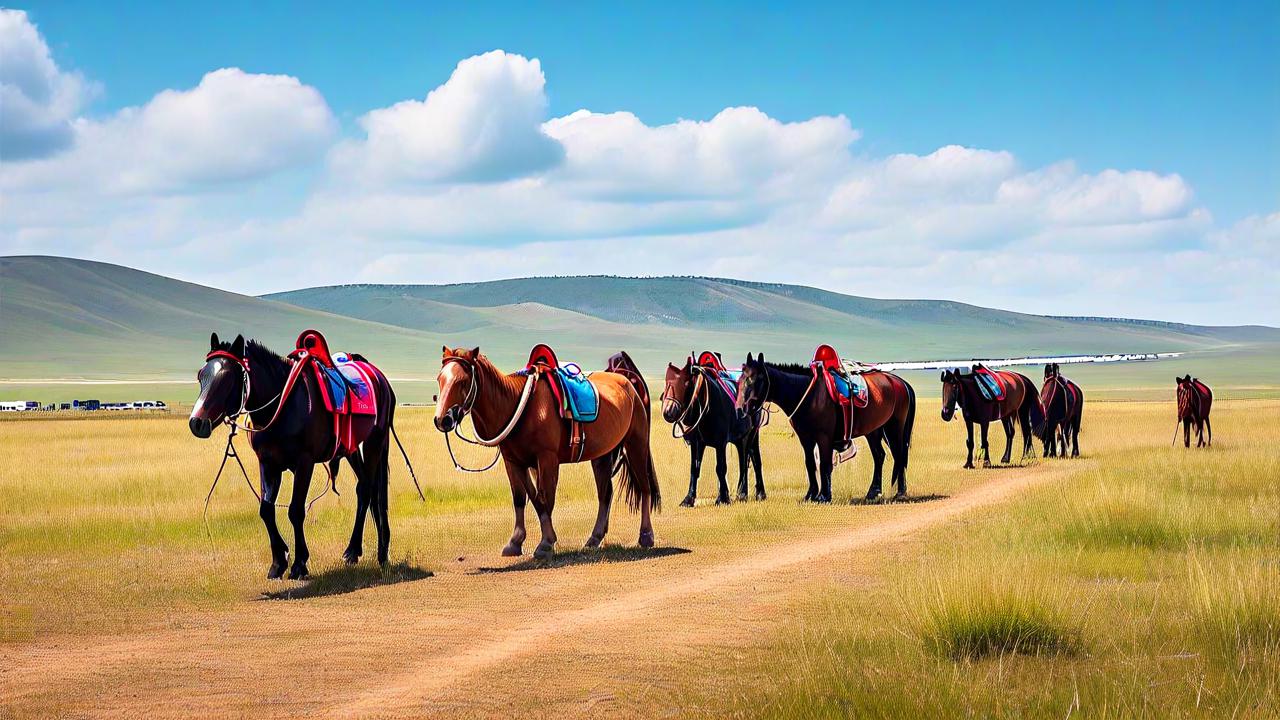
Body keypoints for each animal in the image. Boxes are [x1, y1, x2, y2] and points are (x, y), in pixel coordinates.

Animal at [186, 330, 396, 576]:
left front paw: (299, 563)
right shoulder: (268, 463)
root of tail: (379, 377)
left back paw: (371, 552)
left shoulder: (304, 463)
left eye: (228, 377)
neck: (282, 406)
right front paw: (279, 561)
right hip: (350, 448)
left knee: (369, 489)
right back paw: (356, 552)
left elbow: (295, 510)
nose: (197, 423)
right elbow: (266, 509)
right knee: (364, 489)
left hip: (375, 443)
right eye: (201, 375)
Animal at [437, 345, 665, 558]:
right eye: (440, 379)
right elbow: (523, 498)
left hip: (636, 444)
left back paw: (646, 535)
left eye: (463, 381)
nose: (442, 420)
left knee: (644, 487)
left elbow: (545, 498)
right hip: (602, 455)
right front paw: (515, 542)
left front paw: (546, 543)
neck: (517, 405)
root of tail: (627, 381)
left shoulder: (547, 459)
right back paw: (594, 538)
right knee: (605, 493)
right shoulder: (514, 462)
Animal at [665, 353, 762, 504]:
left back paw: (748, 494)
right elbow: (694, 468)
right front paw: (688, 499)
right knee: (746, 460)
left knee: (750, 461)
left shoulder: (720, 443)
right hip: (739, 438)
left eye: (686, 384)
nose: (668, 411)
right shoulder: (697, 443)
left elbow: (721, 468)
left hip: (750, 435)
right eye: (666, 383)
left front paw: (722, 498)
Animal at [737, 351, 916, 499]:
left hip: (894, 428)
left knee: (899, 455)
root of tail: (901, 383)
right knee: (879, 456)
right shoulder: (806, 439)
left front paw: (824, 495)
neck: (809, 394)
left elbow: (824, 464)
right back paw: (873, 492)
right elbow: (810, 464)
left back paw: (900, 492)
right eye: (740, 380)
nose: (743, 408)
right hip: (874, 430)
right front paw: (811, 494)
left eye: (758, 379)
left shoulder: (824, 437)